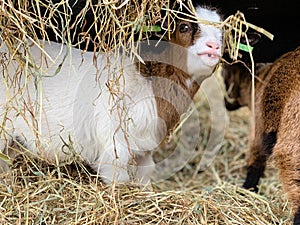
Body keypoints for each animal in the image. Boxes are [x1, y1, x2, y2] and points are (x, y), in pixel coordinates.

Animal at [0, 5, 224, 185]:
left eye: (221, 34)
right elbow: (118, 178)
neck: (147, 81)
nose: (214, 47)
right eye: (184, 27)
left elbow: (145, 174)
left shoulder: (144, 150)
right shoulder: (115, 146)